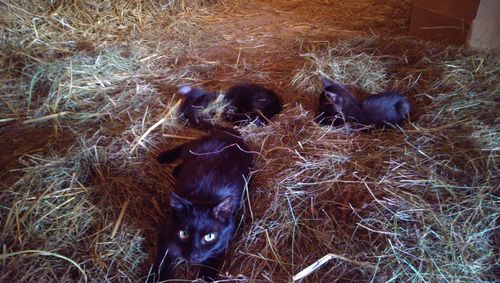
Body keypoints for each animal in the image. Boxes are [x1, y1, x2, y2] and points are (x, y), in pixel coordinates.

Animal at [146, 128, 252, 282]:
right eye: (183, 234)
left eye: (209, 236)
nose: (194, 255)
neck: (202, 198)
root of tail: (231, 133)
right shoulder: (165, 232)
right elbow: (161, 261)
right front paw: (157, 277)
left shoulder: (225, 238)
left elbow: (214, 258)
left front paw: (206, 276)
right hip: (194, 149)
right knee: (185, 146)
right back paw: (165, 157)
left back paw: (176, 169)